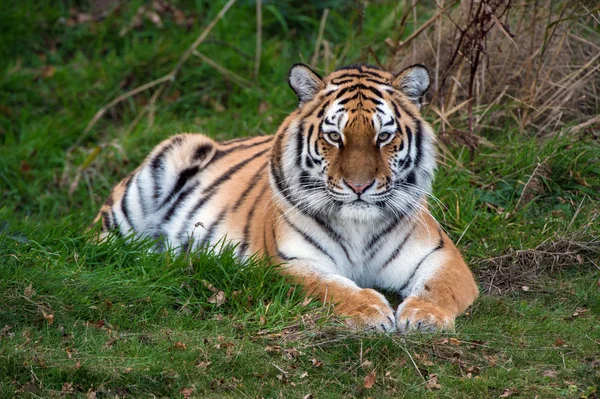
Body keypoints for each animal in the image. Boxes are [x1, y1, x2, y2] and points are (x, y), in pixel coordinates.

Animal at [92, 62, 478, 332]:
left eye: (383, 136)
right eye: (334, 136)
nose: (359, 186)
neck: (359, 227)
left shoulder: (441, 254)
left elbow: (438, 286)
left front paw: (424, 316)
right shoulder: (289, 261)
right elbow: (332, 287)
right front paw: (369, 311)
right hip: (170, 158)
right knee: (99, 245)